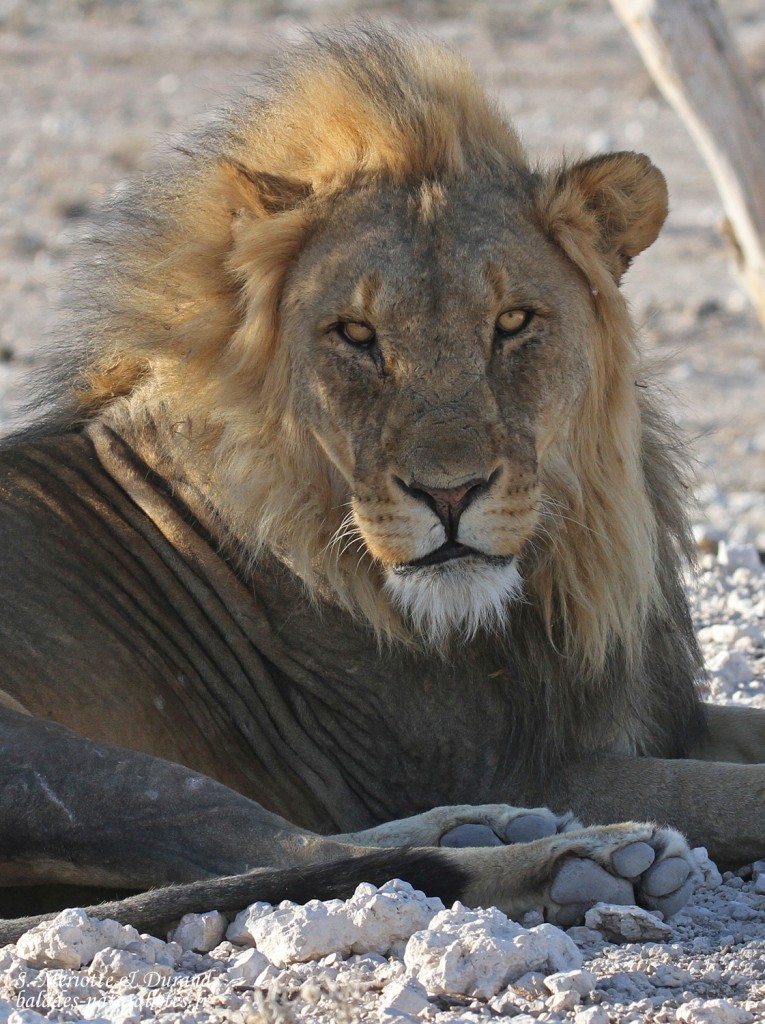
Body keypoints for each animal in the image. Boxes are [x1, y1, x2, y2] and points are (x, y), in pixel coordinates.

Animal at [1, 24, 764, 943]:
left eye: (512, 322)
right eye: (356, 334)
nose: (449, 495)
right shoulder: (508, 762)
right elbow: (733, 798)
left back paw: (491, 828)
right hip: (57, 761)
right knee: (281, 851)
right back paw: (580, 859)